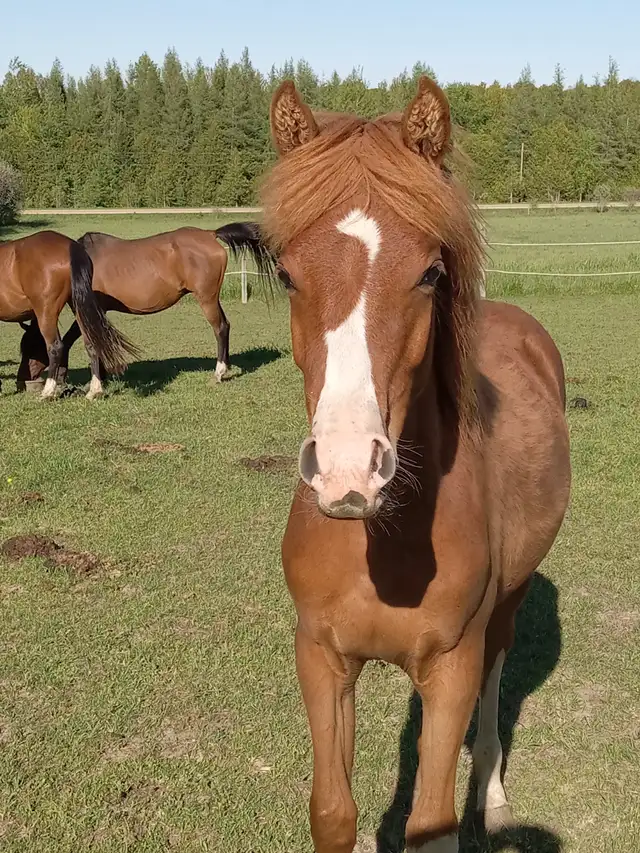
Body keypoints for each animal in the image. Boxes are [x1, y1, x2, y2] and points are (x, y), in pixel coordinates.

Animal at [0, 230, 137, 399]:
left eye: (30, 348)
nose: (21, 381)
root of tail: (70, 246)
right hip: (78, 308)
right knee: (91, 343)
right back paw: (95, 391)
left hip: (46, 311)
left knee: (55, 347)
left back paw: (48, 392)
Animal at [56, 222, 271, 395]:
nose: (60, 385)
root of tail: (210, 234)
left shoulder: (84, 310)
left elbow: (90, 344)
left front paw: (94, 389)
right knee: (225, 326)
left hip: (207, 298)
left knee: (220, 328)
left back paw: (218, 373)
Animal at [237, 78, 571, 852]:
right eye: (288, 274)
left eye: (428, 273)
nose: (348, 470)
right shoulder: (321, 657)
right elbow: (333, 812)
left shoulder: (450, 667)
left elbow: (432, 822)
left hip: (504, 610)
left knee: (496, 683)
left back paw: (494, 795)